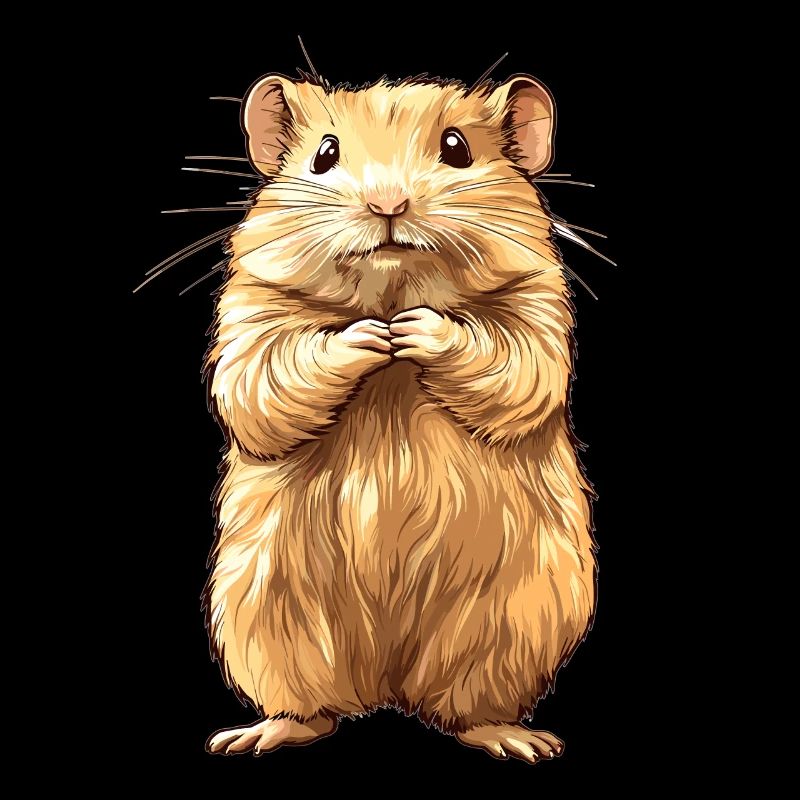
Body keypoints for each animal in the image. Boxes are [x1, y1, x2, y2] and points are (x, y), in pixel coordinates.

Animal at [201, 71, 596, 765]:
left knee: (465, 707)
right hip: (266, 622)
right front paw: (369, 337)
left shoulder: (539, 317)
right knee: (313, 707)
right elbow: (265, 382)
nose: (388, 204)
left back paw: (521, 741)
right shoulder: (249, 325)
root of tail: (387, 689)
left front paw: (413, 331)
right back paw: (252, 737)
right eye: (324, 154)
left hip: (513, 623)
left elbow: (511, 363)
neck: (391, 289)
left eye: (457, 147)